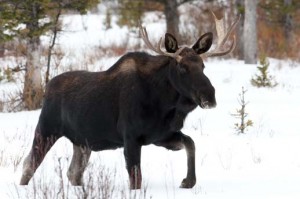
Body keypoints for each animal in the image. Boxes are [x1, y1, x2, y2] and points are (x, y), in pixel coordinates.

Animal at [19, 12, 240, 190]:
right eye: (181, 67)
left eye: (203, 65)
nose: (209, 95)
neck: (165, 105)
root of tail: (48, 87)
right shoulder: (131, 137)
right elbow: (136, 180)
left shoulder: (161, 135)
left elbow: (190, 143)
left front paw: (187, 181)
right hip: (46, 130)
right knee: (29, 165)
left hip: (82, 143)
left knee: (73, 172)